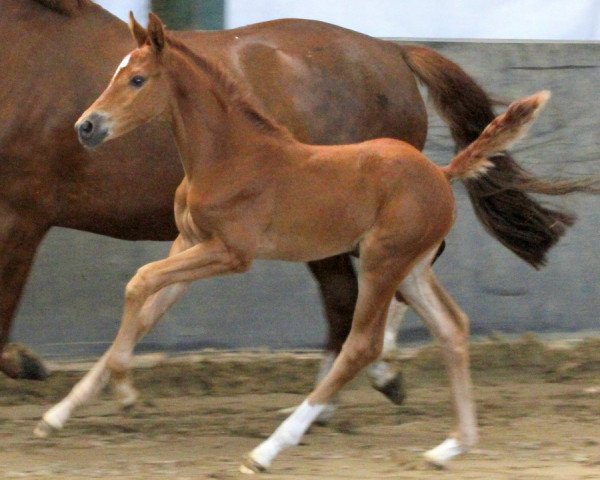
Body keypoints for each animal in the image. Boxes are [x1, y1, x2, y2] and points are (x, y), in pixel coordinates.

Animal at [37, 14, 552, 472]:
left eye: (138, 79)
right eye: (116, 73)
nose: (86, 127)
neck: (229, 156)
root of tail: (442, 173)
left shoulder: (230, 253)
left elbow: (138, 282)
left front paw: (125, 392)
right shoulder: (188, 244)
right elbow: (146, 309)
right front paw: (59, 413)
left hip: (382, 260)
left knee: (361, 343)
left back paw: (270, 448)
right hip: (412, 267)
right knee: (452, 328)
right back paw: (450, 448)